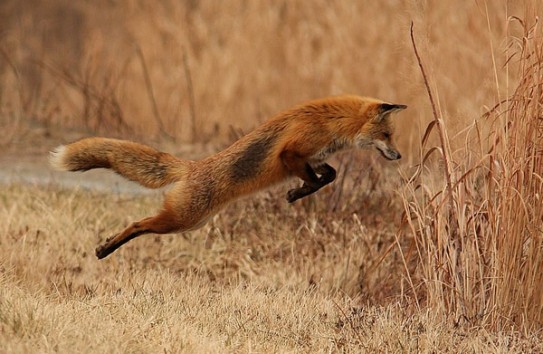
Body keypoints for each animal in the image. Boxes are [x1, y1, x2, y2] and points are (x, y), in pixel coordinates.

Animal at [51, 95, 406, 258]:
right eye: (388, 135)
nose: (399, 156)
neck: (333, 123)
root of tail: (193, 166)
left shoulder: (314, 158)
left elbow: (329, 175)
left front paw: (297, 193)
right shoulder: (291, 153)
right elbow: (319, 179)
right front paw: (297, 193)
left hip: (192, 222)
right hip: (182, 219)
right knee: (138, 224)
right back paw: (106, 248)